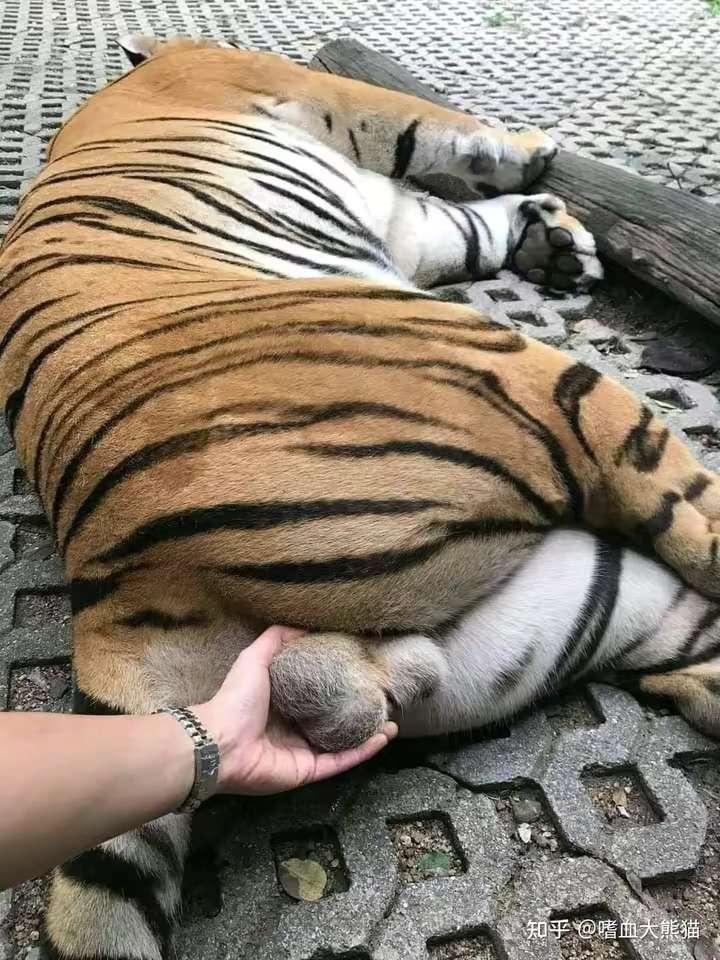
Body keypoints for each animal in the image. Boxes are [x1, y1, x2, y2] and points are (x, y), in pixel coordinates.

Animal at [0, 33, 719, 960]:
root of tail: (109, 574)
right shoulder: (324, 96)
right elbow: (446, 131)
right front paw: (539, 161)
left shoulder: (411, 224)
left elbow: (468, 223)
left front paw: (551, 238)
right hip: (540, 383)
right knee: (691, 518)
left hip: (580, 605)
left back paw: (362, 680)